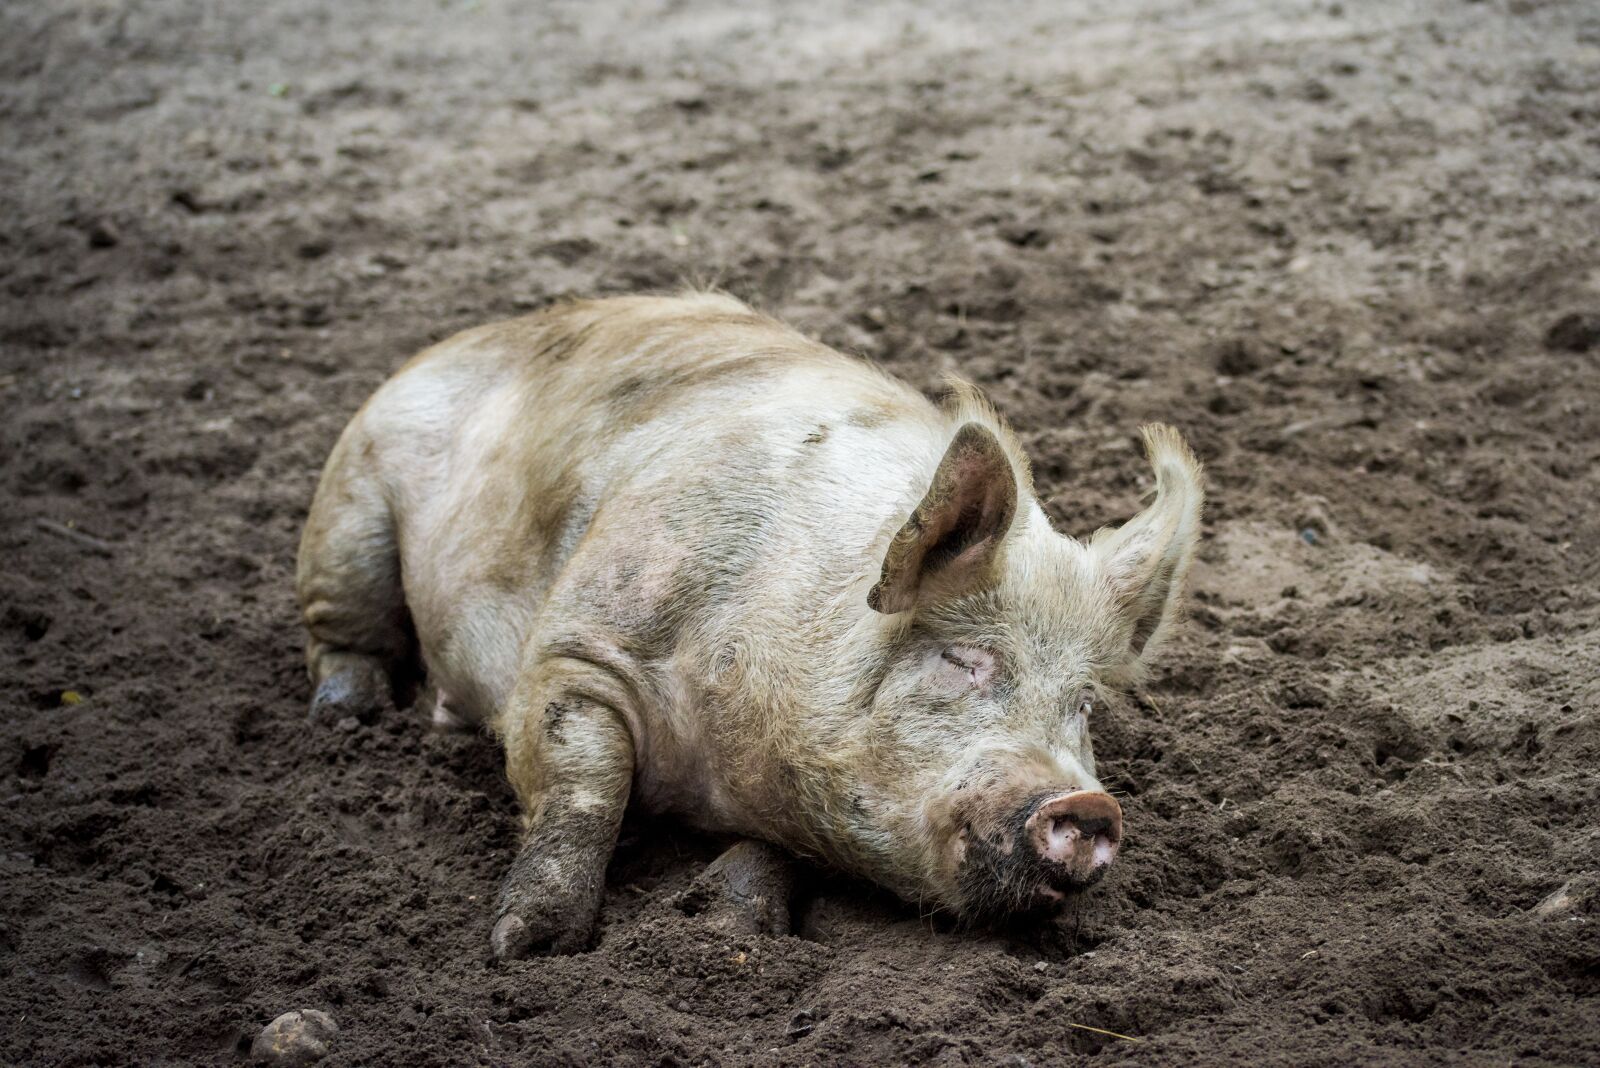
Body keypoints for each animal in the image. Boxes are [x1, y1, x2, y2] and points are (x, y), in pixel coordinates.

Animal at [296, 292, 1204, 958]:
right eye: (963, 660)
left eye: (1083, 702)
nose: (1089, 807)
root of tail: (472, 334)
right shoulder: (578, 646)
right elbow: (583, 782)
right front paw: (525, 946)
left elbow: (774, 854)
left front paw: (734, 929)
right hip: (349, 499)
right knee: (343, 628)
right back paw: (348, 714)